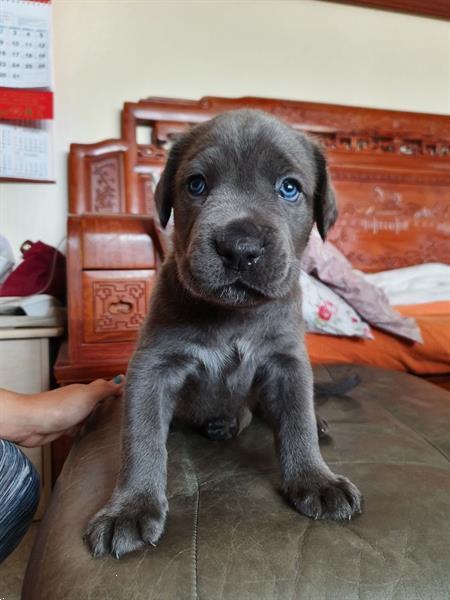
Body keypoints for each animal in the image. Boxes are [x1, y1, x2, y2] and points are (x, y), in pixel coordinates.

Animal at [84, 108, 362, 556]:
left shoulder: (287, 362)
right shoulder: (152, 367)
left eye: (289, 188)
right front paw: (130, 508)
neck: (232, 315)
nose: (240, 247)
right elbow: (142, 438)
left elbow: (297, 419)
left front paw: (315, 479)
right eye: (196, 184)